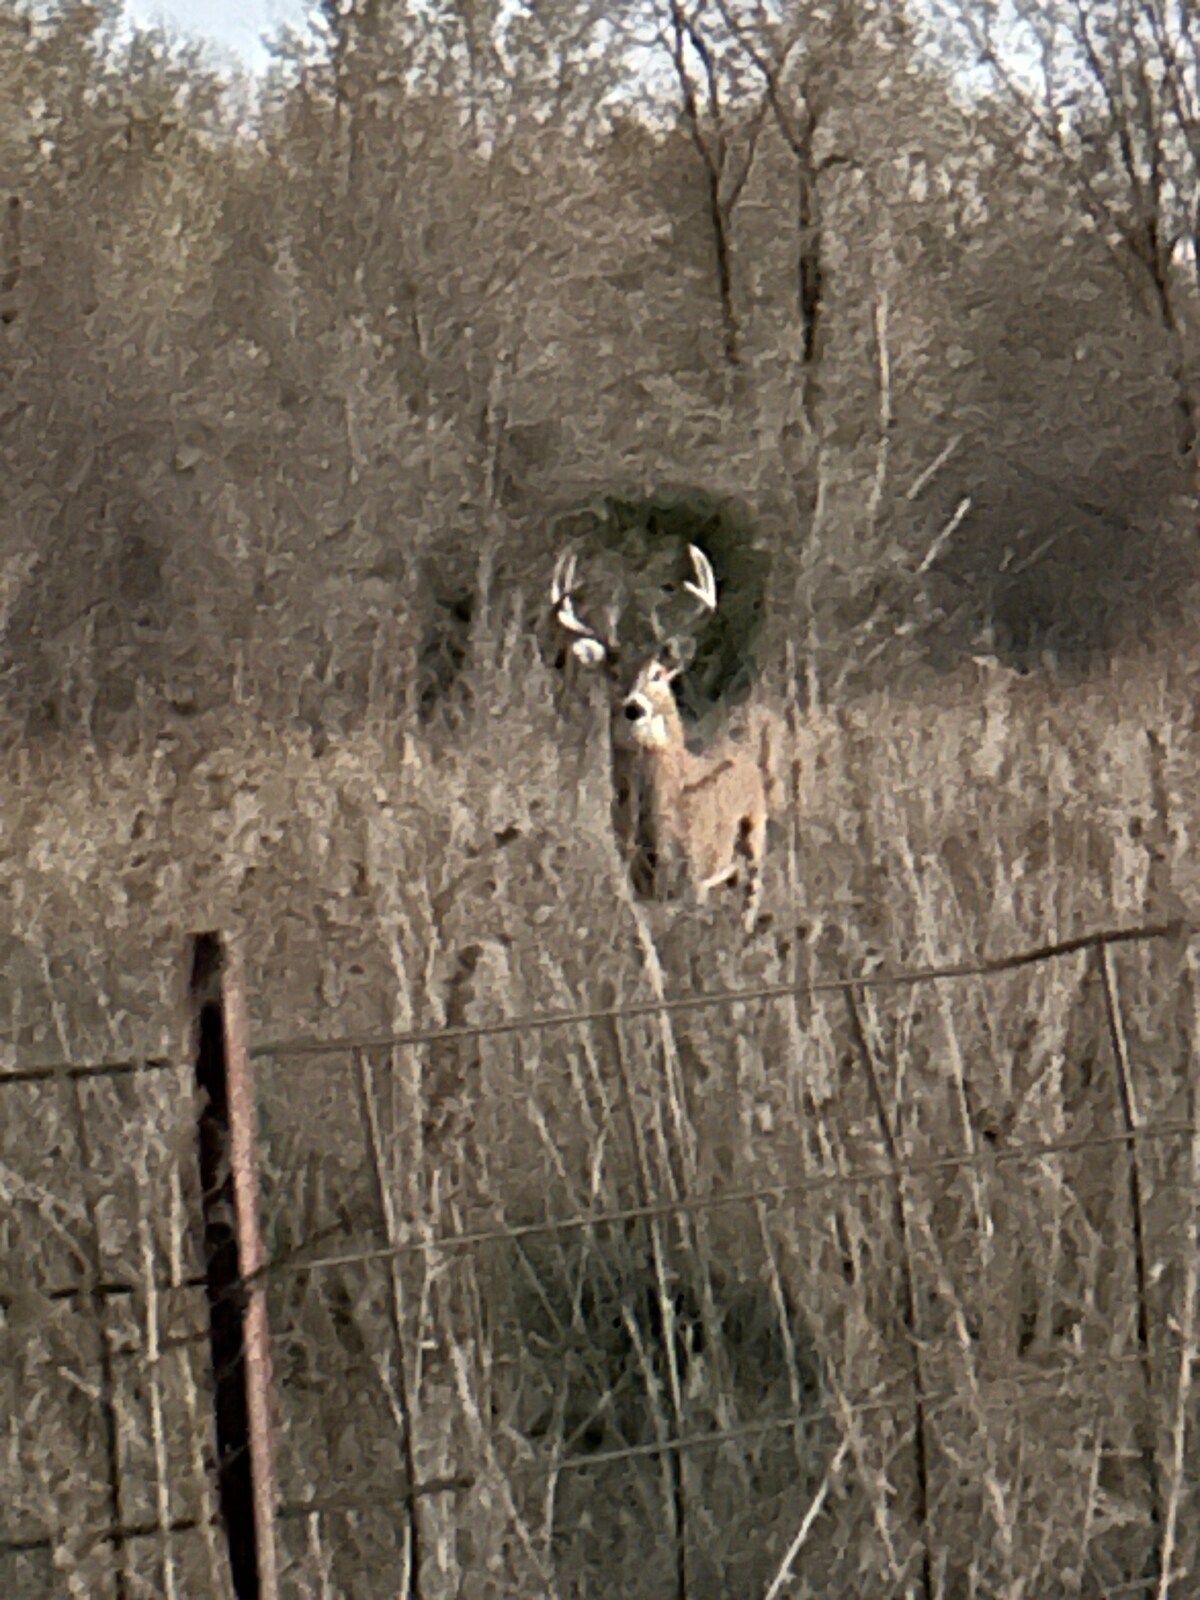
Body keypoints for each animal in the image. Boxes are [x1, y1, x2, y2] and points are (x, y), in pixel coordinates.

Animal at [556, 544, 780, 934]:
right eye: (613, 674)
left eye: (658, 674)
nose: (634, 707)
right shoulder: (636, 882)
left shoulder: (695, 876)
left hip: (754, 838)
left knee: (749, 903)